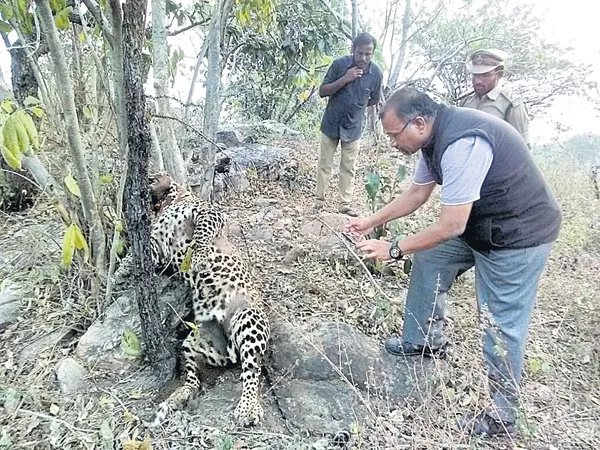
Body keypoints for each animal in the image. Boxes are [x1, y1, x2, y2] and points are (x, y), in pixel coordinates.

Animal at [115, 171, 270, 426]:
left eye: (151, 178)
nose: (128, 190)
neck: (172, 199)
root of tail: (229, 351)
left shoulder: (209, 213)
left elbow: (200, 235)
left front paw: (198, 258)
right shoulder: (157, 248)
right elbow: (134, 257)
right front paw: (120, 273)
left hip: (248, 318)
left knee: (252, 370)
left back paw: (247, 408)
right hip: (191, 344)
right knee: (193, 381)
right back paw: (175, 399)